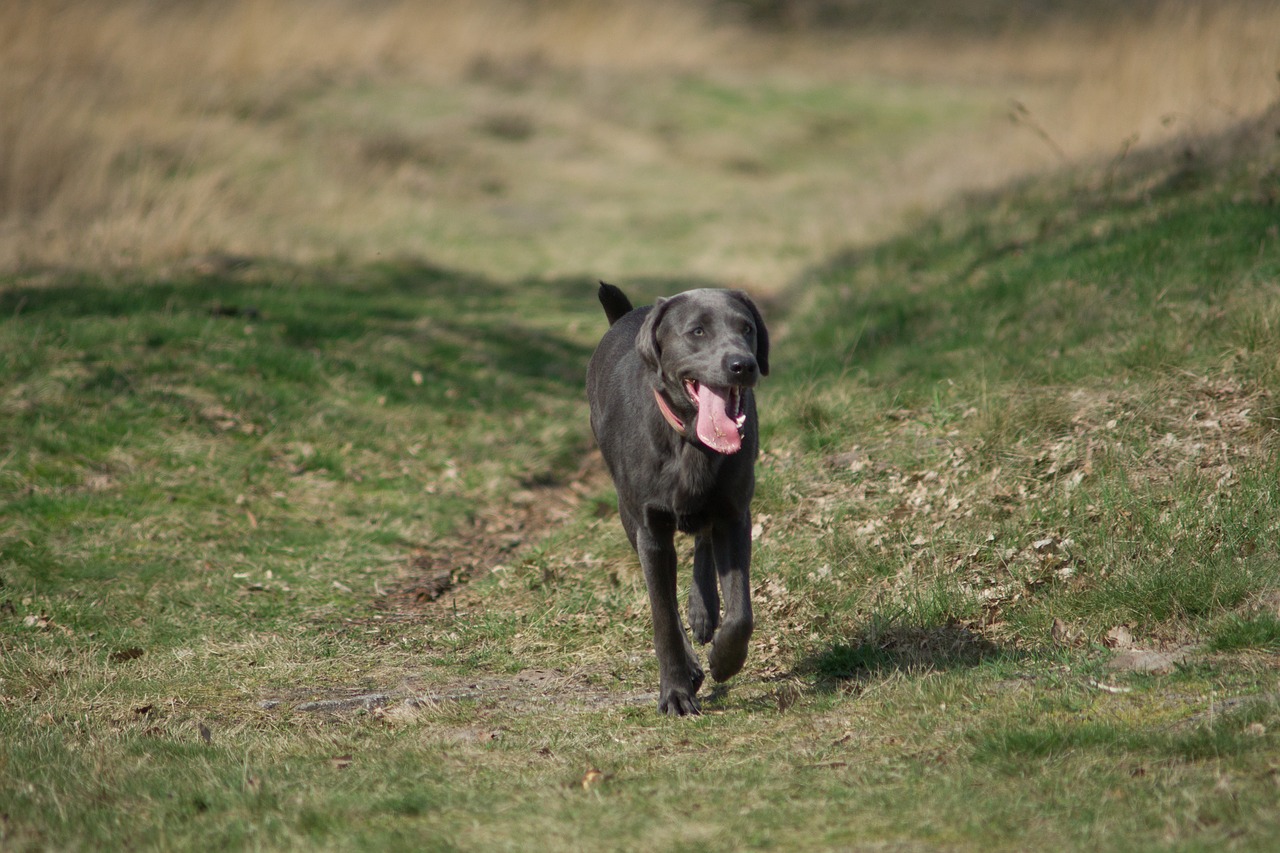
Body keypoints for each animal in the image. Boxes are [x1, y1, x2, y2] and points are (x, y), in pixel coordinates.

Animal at [586, 280, 768, 712]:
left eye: (747, 329)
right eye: (697, 331)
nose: (742, 365)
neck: (691, 441)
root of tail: (626, 315)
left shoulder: (735, 514)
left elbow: (740, 613)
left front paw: (724, 659)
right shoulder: (650, 530)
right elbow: (663, 616)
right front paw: (676, 692)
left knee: (703, 539)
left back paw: (703, 612)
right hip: (628, 515)